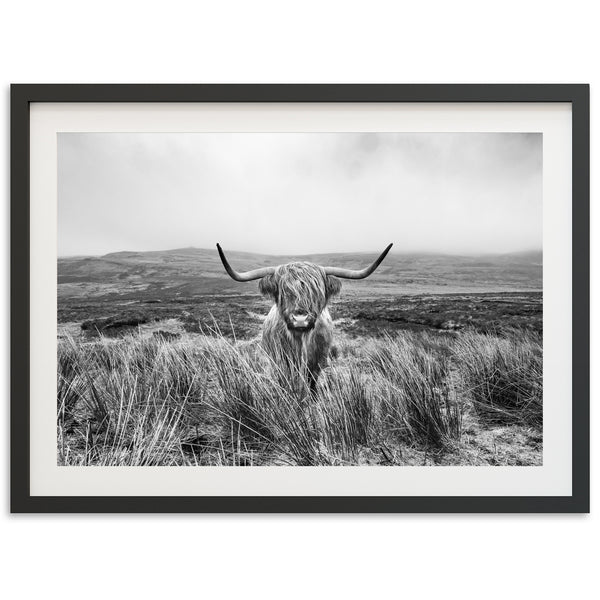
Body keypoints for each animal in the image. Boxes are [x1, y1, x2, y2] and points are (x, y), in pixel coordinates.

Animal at [216, 241, 394, 392]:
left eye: (316, 291)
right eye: (283, 291)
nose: (300, 319)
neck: (300, 342)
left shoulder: (317, 363)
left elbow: (312, 383)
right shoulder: (281, 362)